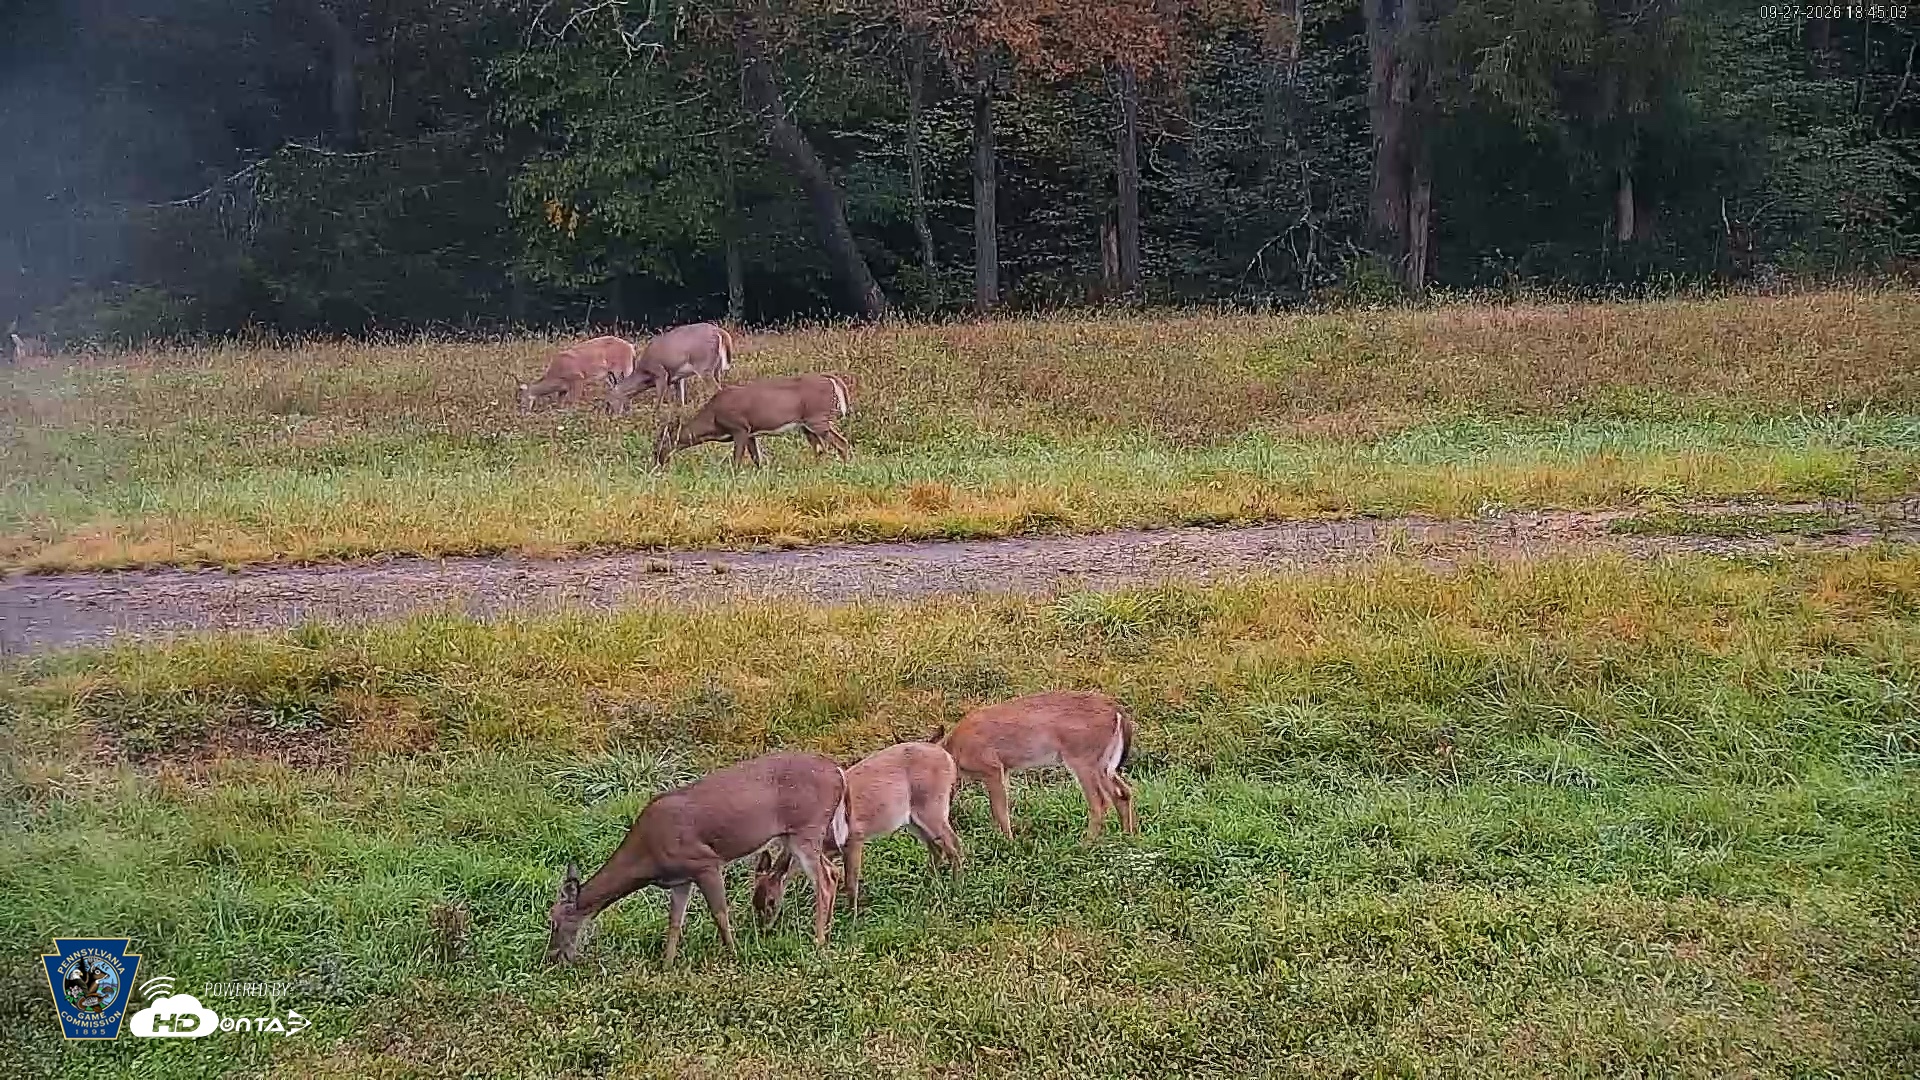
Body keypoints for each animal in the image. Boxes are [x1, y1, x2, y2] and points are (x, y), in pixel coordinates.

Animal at [545, 751, 848, 966]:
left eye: (554, 921)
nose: (552, 957)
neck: (648, 856)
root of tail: (839, 774)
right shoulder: (681, 879)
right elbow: (674, 922)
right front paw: (666, 965)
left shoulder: (705, 862)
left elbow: (720, 913)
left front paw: (734, 955)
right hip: (796, 835)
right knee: (832, 872)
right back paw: (828, 929)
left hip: (807, 828)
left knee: (824, 880)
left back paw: (819, 940)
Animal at [608, 322, 736, 414]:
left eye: (610, 400)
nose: (613, 415)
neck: (644, 373)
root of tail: (720, 332)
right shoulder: (678, 378)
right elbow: (680, 399)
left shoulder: (660, 372)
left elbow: (659, 399)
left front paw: (655, 416)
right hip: (717, 368)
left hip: (703, 365)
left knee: (716, 389)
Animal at [653, 373, 852, 468]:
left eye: (661, 443)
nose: (657, 461)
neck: (713, 420)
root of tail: (830, 380)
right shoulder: (750, 432)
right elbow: (757, 459)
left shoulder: (739, 427)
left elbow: (737, 459)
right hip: (806, 424)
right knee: (820, 449)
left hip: (817, 418)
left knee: (841, 443)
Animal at [752, 738, 961, 925]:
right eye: (754, 901)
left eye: (771, 900)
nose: (764, 929)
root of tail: (948, 758)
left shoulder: (854, 838)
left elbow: (850, 882)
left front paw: (851, 918)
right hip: (913, 819)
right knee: (937, 848)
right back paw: (928, 883)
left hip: (933, 806)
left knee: (954, 844)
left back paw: (956, 886)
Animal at [942, 690, 1137, 843]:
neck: (955, 751)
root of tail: (1117, 710)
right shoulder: (1005, 770)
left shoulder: (993, 768)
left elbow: (1000, 811)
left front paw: (1008, 843)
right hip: (1104, 763)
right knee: (1122, 793)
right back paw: (1127, 837)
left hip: (1082, 758)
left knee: (1100, 801)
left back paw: (1085, 844)